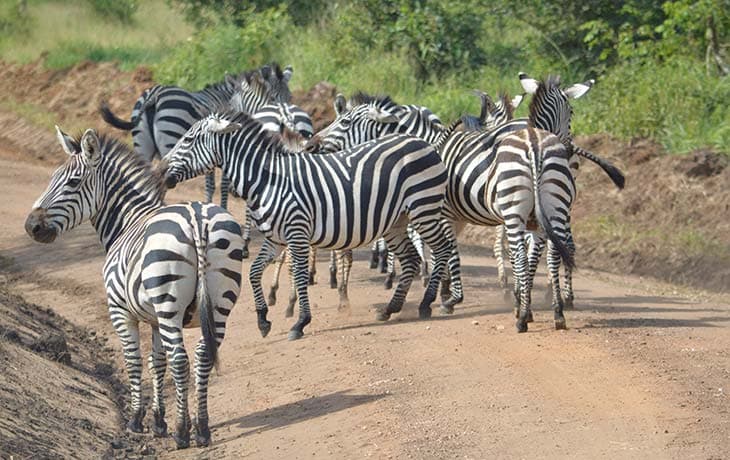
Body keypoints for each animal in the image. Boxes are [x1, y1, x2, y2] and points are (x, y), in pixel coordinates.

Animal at [25, 128, 244, 448]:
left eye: (73, 182)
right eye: (52, 177)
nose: (31, 227)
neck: (128, 221)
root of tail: (196, 217)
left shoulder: (120, 311)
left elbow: (134, 360)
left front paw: (138, 420)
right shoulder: (154, 319)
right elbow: (157, 362)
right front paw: (159, 421)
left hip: (169, 303)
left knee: (181, 360)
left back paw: (182, 433)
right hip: (218, 304)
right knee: (203, 354)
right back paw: (202, 429)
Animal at [163, 112, 459, 340]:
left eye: (188, 139)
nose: (161, 172)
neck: (268, 180)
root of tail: (422, 142)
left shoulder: (296, 233)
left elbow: (299, 275)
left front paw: (300, 322)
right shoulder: (275, 238)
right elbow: (254, 272)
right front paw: (263, 320)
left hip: (423, 209)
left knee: (442, 249)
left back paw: (427, 303)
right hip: (397, 222)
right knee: (411, 258)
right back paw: (390, 308)